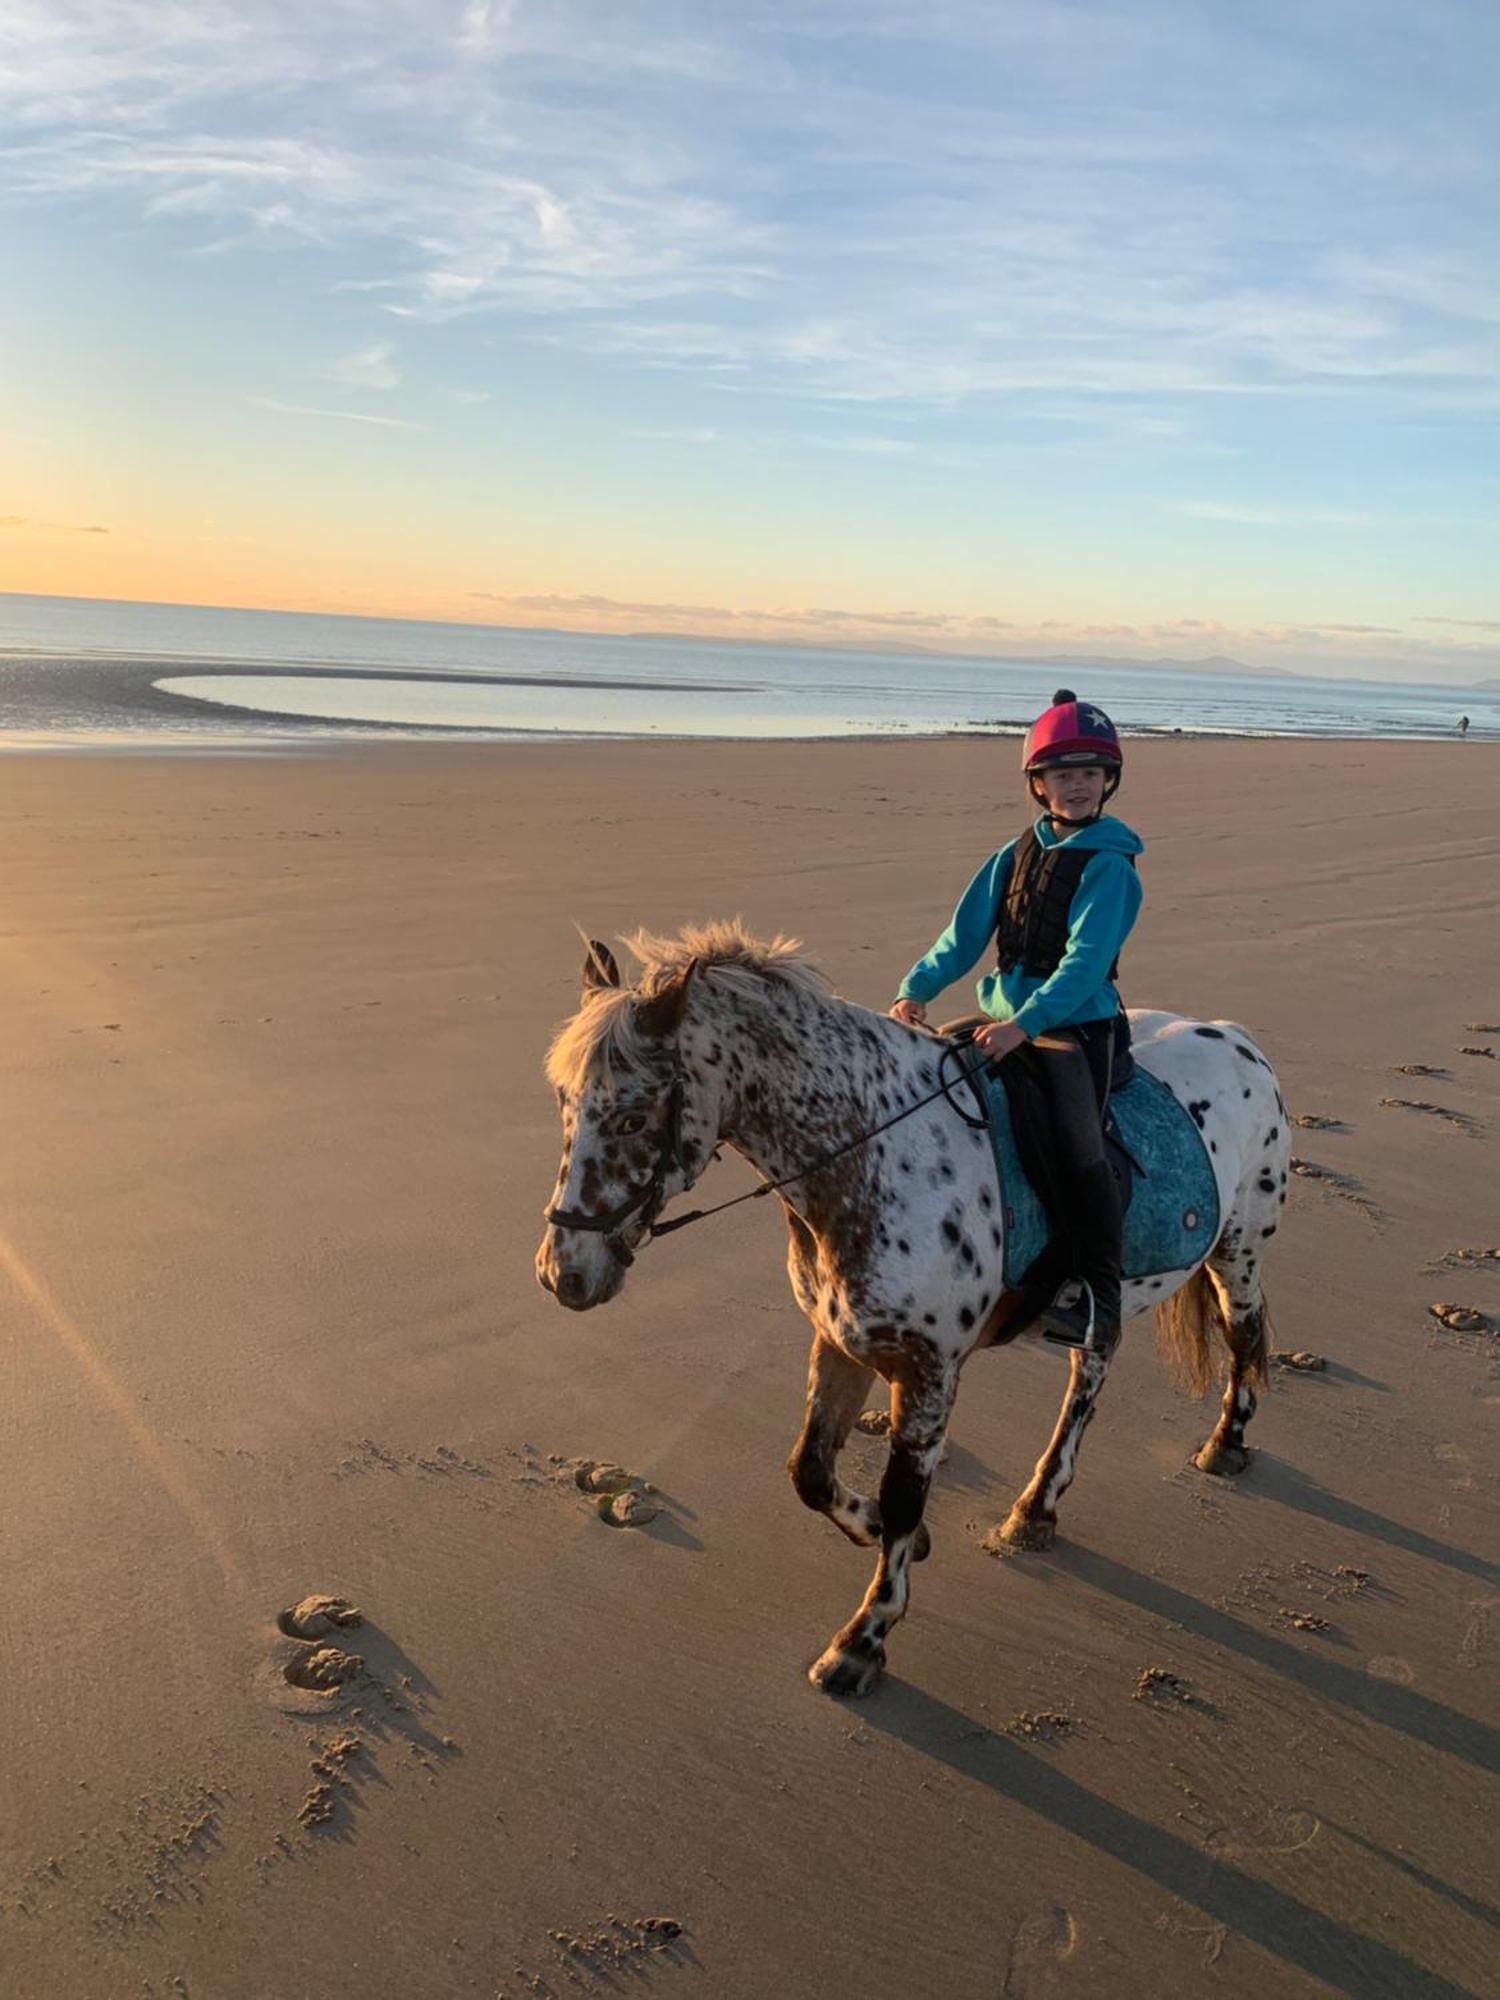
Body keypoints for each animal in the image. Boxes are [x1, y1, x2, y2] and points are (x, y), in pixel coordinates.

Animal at [540, 916, 1296, 1688]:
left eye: (632, 1120)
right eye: (565, 1106)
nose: (562, 1275)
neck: (873, 1157)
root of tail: (1235, 1037)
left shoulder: (929, 1369)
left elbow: (903, 1496)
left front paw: (862, 1639)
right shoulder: (841, 1340)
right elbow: (810, 1471)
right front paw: (881, 1531)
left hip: (1238, 1250)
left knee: (1243, 1337)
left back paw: (1223, 1446)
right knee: (1093, 1367)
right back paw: (1036, 1509)